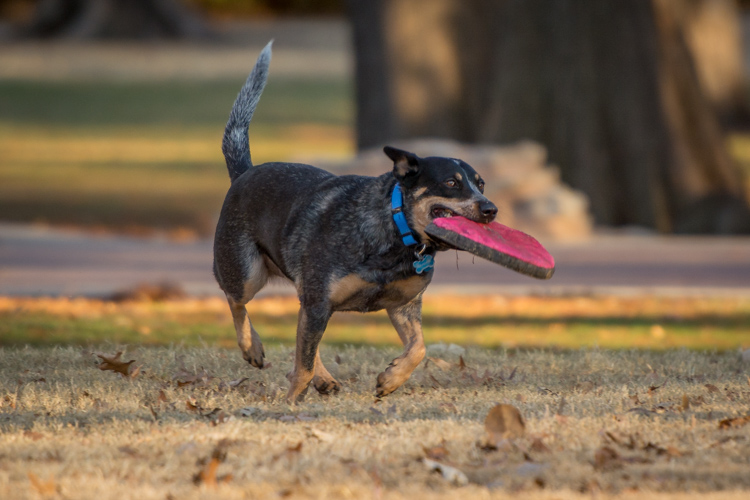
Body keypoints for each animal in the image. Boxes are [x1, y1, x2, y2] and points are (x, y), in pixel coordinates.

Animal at [213, 42, 500, 402]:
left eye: (481, 183)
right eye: (451, 182)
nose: (491, 209)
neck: (393, 232)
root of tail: (244, 173)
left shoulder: (402, 305)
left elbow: (418, 348)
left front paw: (390, 379)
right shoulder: (319, 301)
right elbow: (303, 363)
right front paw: (291, 402)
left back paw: (324, 378)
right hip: (246, 270)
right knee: (235, 300)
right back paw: (252, 348)